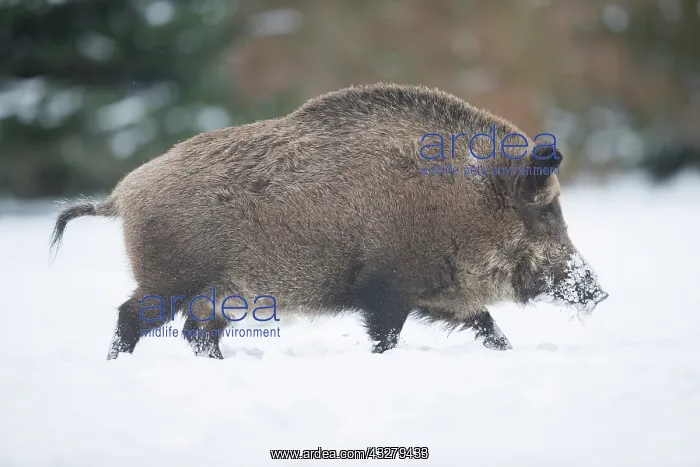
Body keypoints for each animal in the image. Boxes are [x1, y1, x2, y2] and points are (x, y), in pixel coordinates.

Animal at [49, 83, 608, 360]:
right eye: (547, 212)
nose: (599, 292)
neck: (463, 202)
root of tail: (121, 195)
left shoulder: (439, 294)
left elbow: (488, 324)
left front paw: (508, 353)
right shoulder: (386, 288)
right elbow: (386, 336)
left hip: (220, 294)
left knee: (196, 333)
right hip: (170, 278)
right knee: (131, 317)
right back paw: (116, 365)